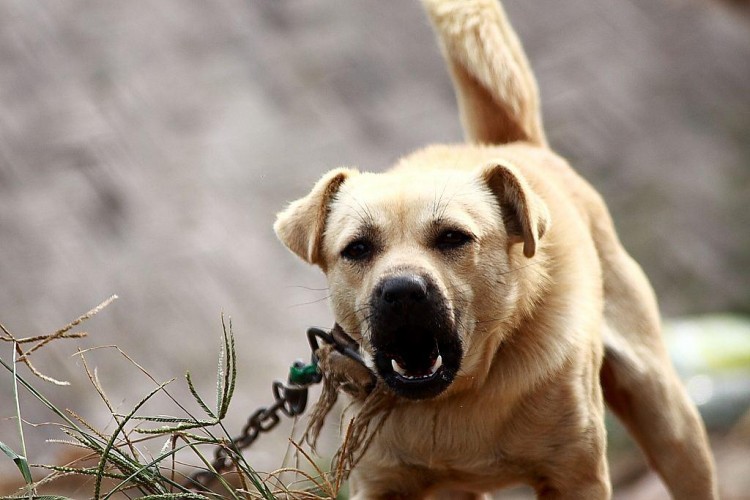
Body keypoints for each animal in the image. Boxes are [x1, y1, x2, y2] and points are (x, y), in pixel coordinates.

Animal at [274, 0, 716, 500]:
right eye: (358, 248)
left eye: (452, 237)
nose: (401, 291)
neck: (462, 394)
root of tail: (516, 144)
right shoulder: (384, 483)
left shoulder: (575, 475)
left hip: (667, 416)